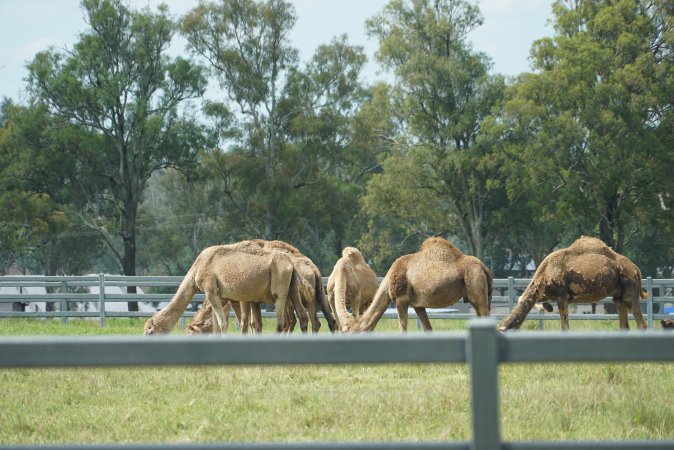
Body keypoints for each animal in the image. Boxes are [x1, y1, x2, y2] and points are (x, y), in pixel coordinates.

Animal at [143, 240, 308, 335]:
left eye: (150, 332)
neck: (196, 269)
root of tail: (290, 264)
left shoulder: (211, 290)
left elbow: (223, 324)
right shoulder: (221, 296)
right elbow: (217, 326)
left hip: (279, 290)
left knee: (281, 322)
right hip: (291, 289)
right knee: (301, 316)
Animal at [185, 240, 336, 334]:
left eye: (192, 334)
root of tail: (314, 270)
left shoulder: (241, 298)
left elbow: (246, 322)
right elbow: (252, 322)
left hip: (299, 296)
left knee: (294, 320)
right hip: (317, 294)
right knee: (325, 319)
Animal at [344, 237, 493, 332]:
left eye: (350, 332)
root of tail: (484, 267)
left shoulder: (401, 299)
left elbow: (402, 329)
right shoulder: (418, 304)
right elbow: (428, 328)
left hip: (477, 289)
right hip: (476, 296)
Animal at [498, 236, 648, 332]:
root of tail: (636, 269)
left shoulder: (562, 297)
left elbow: (565, 327)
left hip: (630, 290)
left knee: (641, 323)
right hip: (617, 296)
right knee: (624, 324)